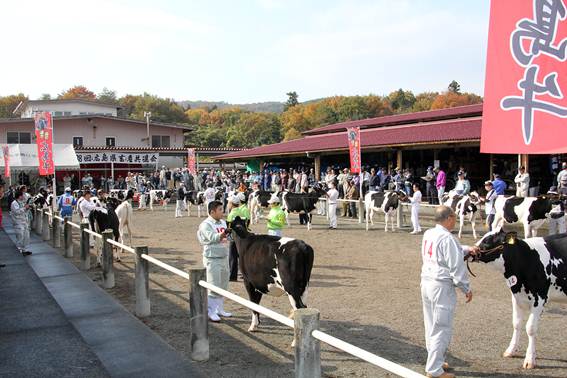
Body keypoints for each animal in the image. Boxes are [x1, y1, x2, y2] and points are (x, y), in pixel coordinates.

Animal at [474, 230, 567, 370]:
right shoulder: (516, 297)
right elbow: (516, 323)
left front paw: (529, 359)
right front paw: (511, 350)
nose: (470, 251)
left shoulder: (540, 299)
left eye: (488, 240)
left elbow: (530, 328)